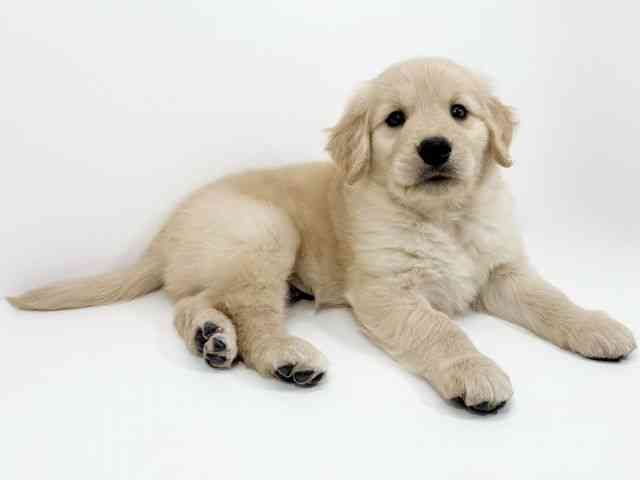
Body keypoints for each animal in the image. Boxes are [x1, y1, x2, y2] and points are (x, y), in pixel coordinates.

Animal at [9, 57, 636, 413]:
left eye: (460, 113)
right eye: (395, 120)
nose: (435, 148)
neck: (443, 217)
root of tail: (164, 233)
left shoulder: (502, 272)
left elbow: (552, 300)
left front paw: (597, 327)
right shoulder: (387, 292)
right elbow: (441, 330)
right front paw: (473, 371)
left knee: (193, 303)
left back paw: (212, 338)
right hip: (265, 231)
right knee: (253, 317)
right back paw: (285, 357)